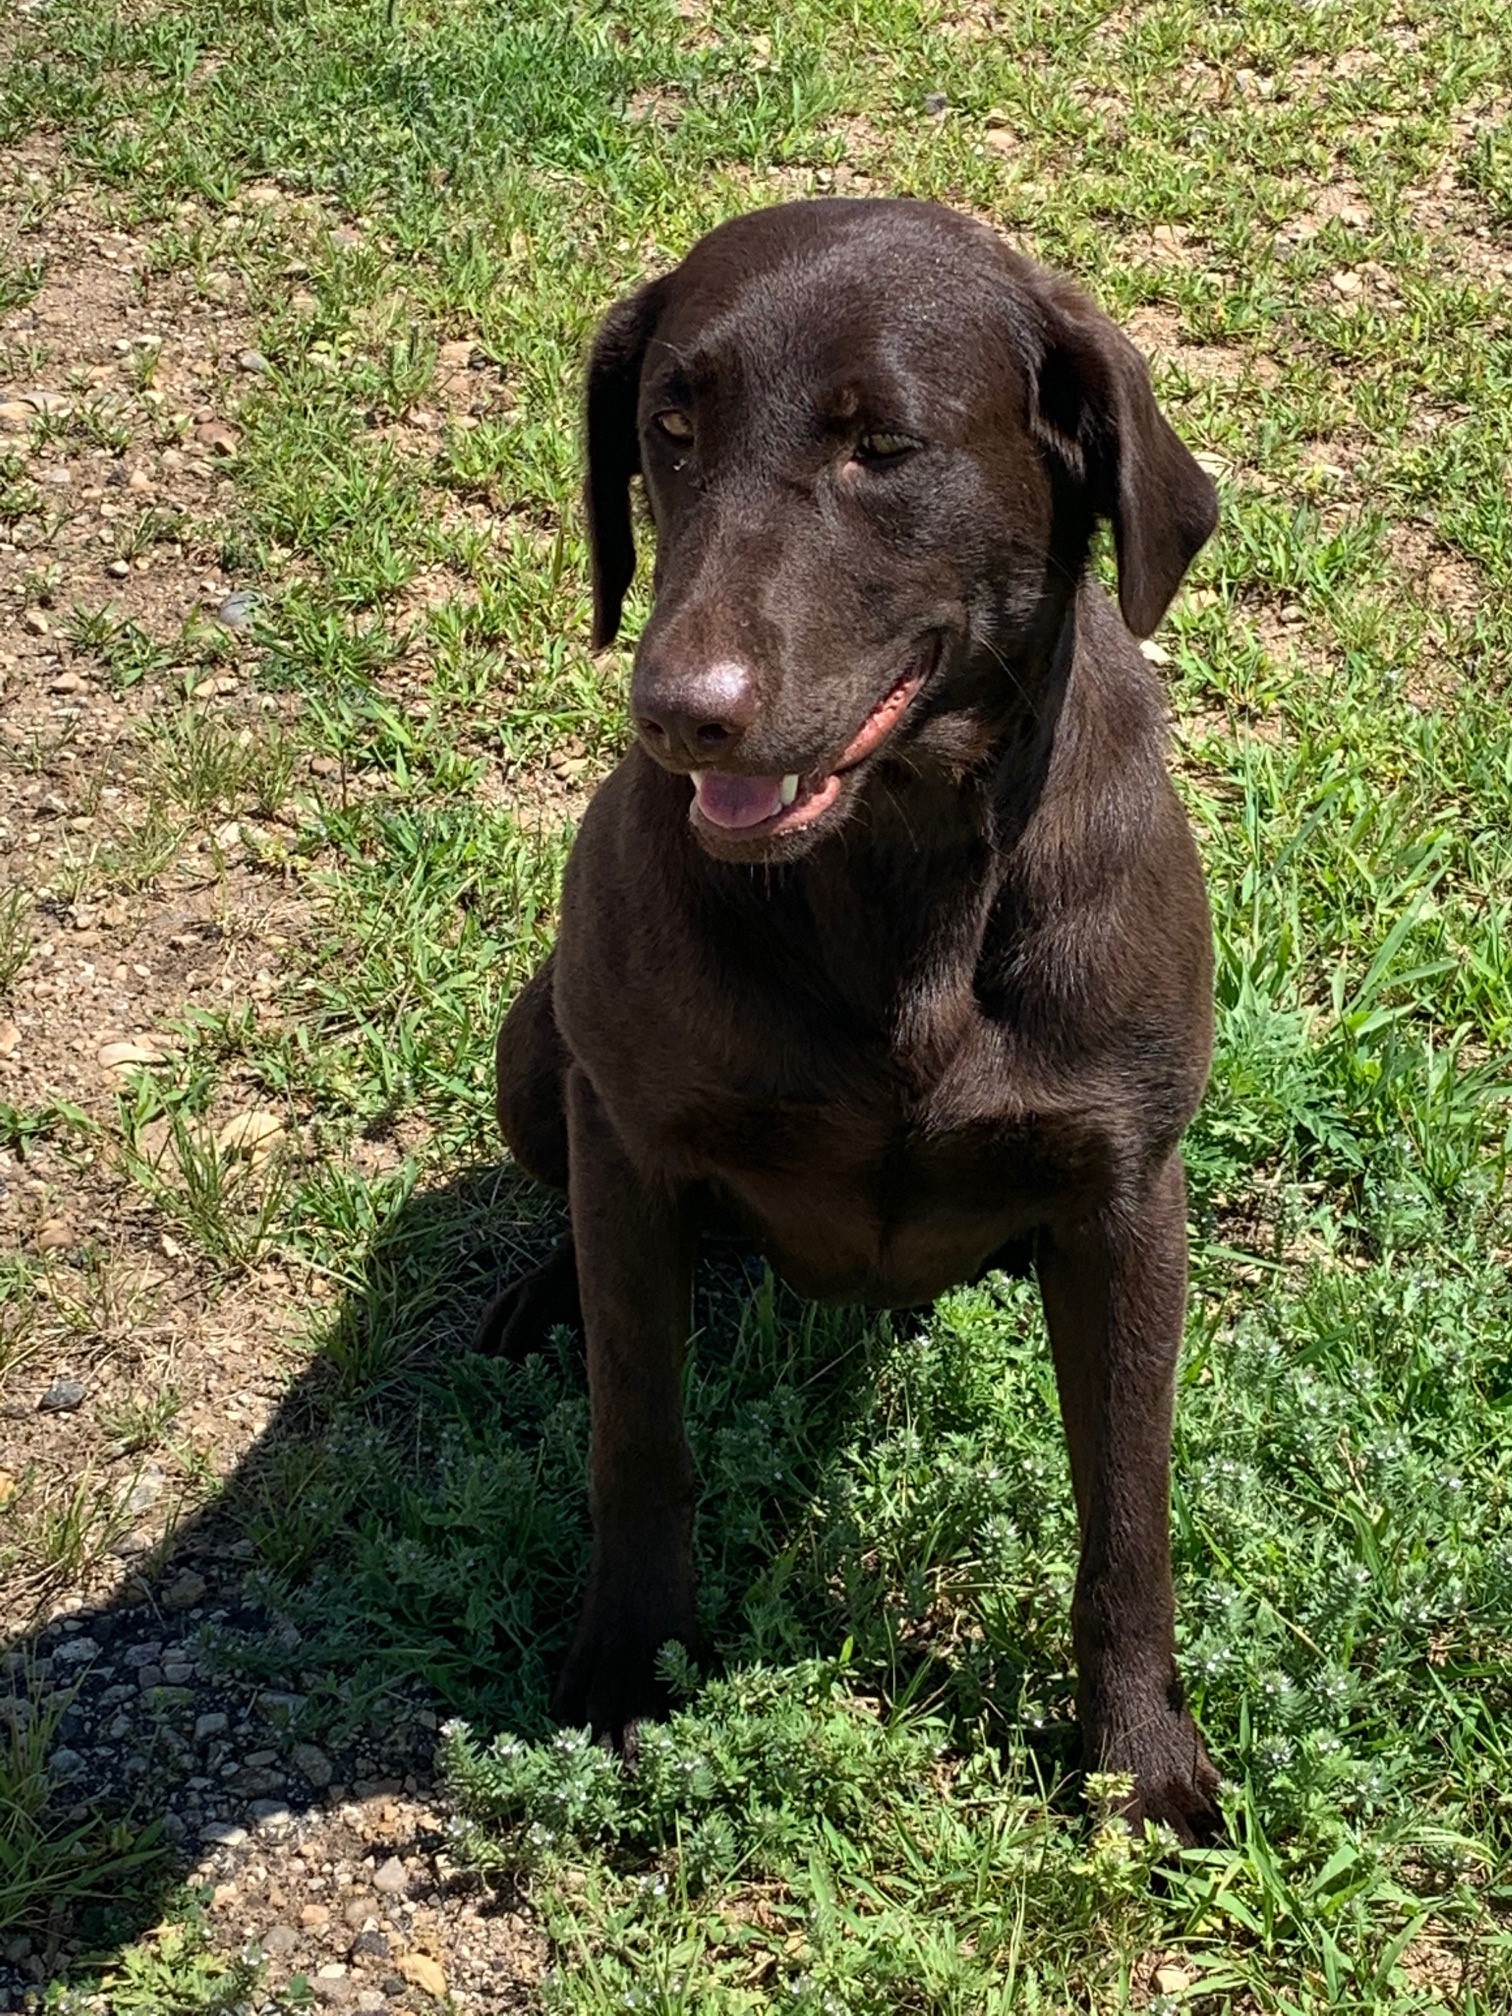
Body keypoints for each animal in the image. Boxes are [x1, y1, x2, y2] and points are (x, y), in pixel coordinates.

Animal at [491, 196, 1225, 1838]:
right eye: (668, 428)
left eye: (880, 445)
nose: (676, 713)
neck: (897, 874)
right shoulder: (635, 1138)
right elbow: (638, 1433)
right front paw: (630, 1664)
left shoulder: (1129, 1194)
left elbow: (1129, 1518)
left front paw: (1139, 1758)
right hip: (533, 1047)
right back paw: (542, 1296)